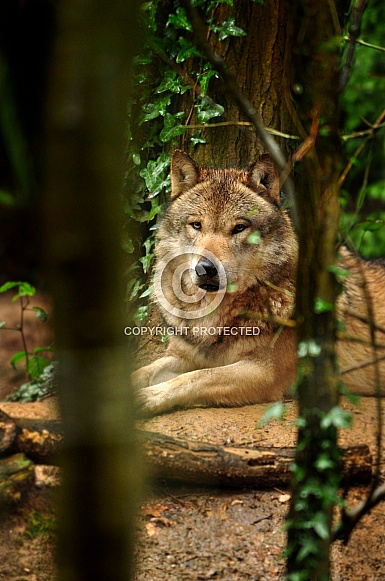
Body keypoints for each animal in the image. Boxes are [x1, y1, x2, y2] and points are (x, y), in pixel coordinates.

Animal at [132, 150, 384, 412]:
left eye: (239, 228)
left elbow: (197, 377)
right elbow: (142, 372)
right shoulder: (183, 356)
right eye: (196, 225)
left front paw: (145, 397)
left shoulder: (264, 372)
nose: (205, 268)